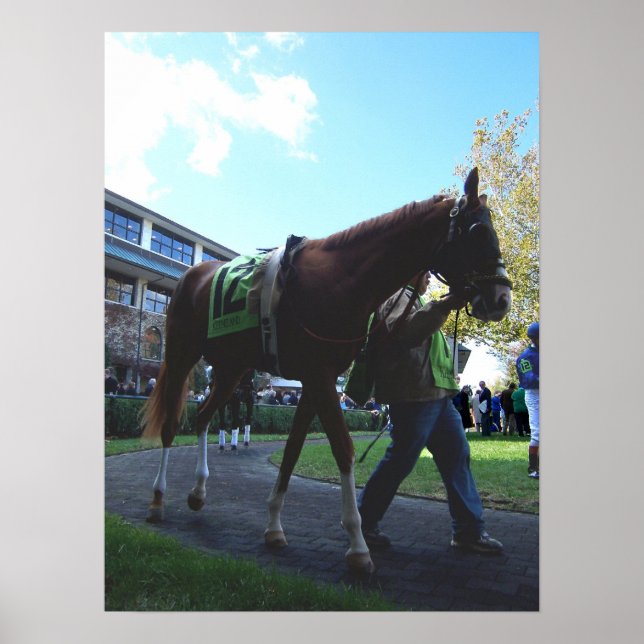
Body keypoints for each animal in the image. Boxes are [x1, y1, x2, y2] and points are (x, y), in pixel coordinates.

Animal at [141, 167, 512, 573]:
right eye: (478, 231)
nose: (502, 299)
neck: (339, 278)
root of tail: (190, 276)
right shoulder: (318, 376)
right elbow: (344, 449)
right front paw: (358, 545)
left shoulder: (316, 379)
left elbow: (292, 450)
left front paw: (274, 527)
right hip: (181, 355)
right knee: (171, 425)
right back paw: (158, 498)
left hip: (232, 368)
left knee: (204, 415)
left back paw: (197, 492)